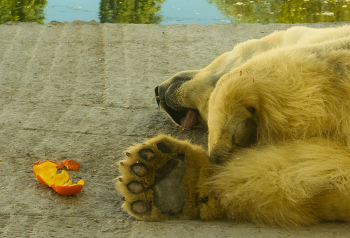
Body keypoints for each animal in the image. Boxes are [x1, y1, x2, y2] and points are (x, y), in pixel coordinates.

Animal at [117, 25, 350, 228]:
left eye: (203, 112)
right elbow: (317, 174)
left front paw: (229, 138)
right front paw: (177, 182)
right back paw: (163, 174)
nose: (158, 92)